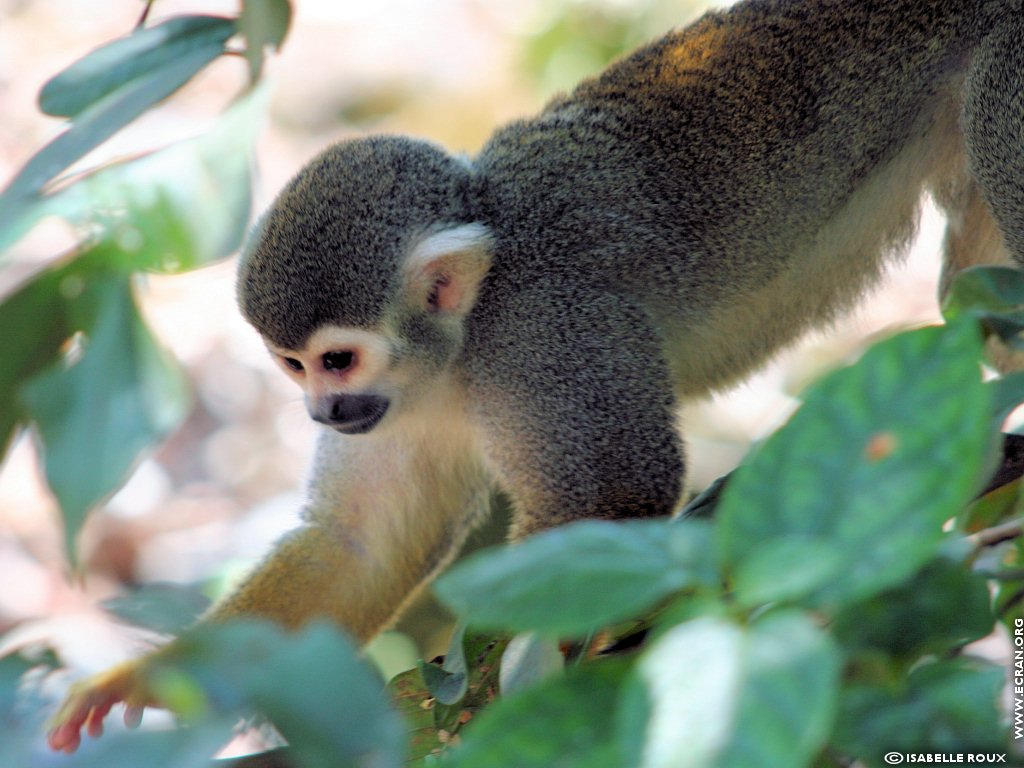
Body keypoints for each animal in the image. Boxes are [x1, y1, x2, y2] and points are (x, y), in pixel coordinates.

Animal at [46, 0, 1024, 753]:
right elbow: (358, 545)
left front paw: (489, 706)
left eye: (337, 358)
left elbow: (609, 500)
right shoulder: (402, 405)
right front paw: (147, 677)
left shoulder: (545, 332)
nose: (323, 411)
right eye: (292, 367)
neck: (460, 345)